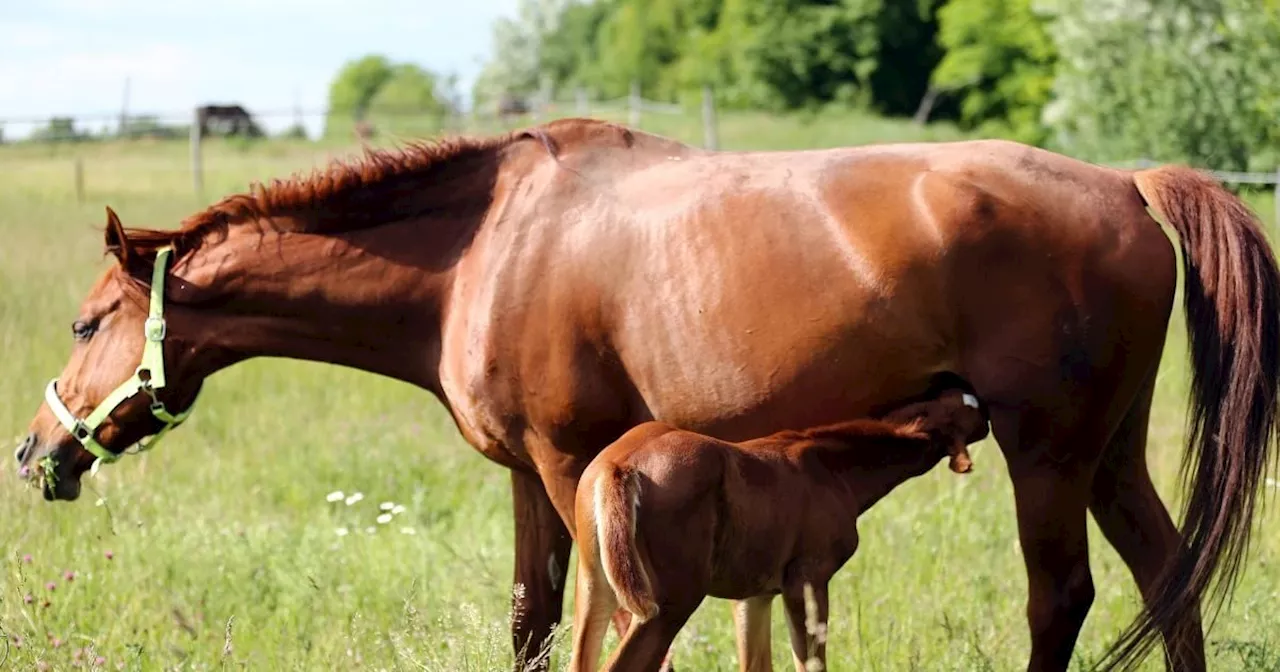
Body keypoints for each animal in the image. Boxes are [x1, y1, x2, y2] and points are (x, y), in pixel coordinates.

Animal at [570, 384, 988, 665]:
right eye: (965, 410)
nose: (982, 404)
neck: (835, 470)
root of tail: (617, 467)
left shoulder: (755, 593)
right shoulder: (807, 577)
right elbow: (811, 661)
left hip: (594, 585)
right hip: (671, 601)